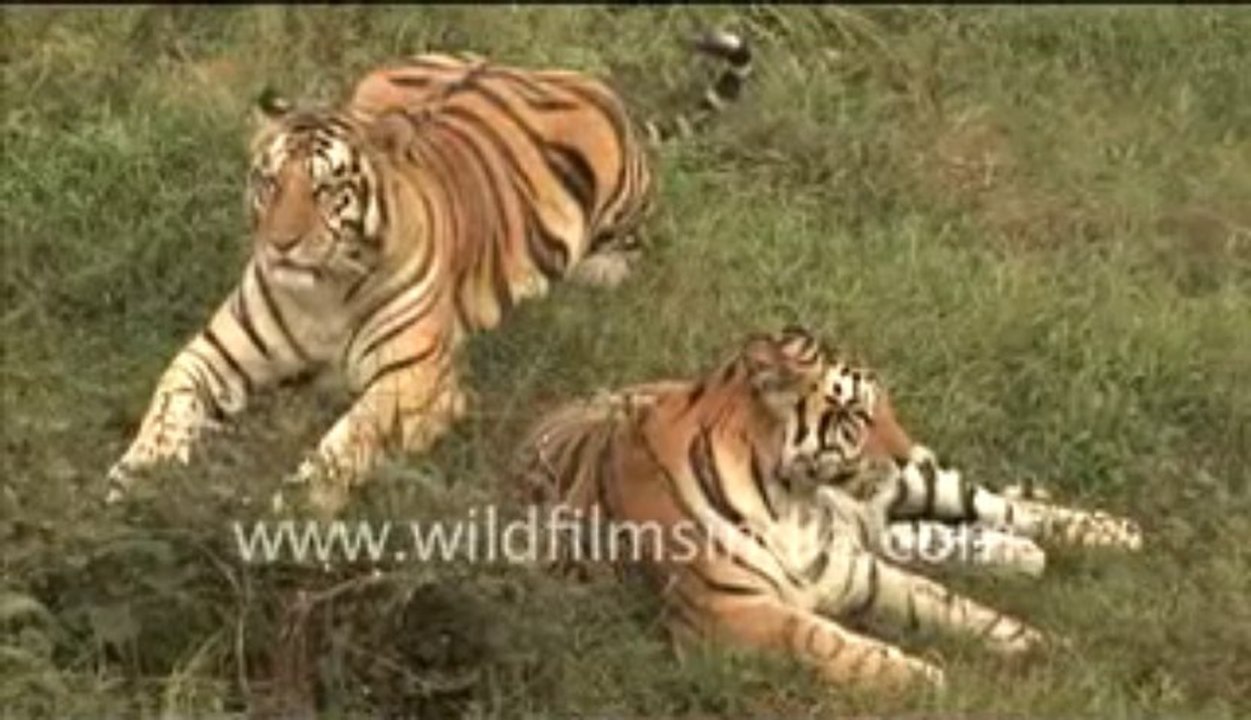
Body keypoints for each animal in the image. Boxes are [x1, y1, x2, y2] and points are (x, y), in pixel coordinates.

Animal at [105, 31, 753, 515]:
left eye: (326, 191)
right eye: (269, 182)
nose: (281, 243)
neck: (322, 296)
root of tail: (579, 79)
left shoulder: (415, 385)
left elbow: (349, 440)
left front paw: (295, 508)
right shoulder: (213, 353)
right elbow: (168, 405)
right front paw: (135, 476)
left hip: (620, 204)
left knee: (627, 250)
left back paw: (597, 275)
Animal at [512, 325, 1143, 690]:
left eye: (887, 406)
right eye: (859, 415)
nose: (905, 452)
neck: (788, 498)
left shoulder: (859, 572)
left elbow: (956, 606)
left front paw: (1048, 648)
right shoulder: (729, 610)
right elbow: (826, 641)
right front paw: (931, 681)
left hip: (922, 490)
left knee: (999, 504)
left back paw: (1118, 533)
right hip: (882, 520)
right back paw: (1020, 557)